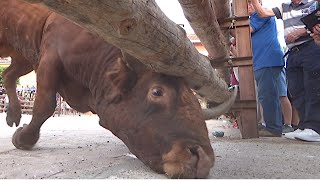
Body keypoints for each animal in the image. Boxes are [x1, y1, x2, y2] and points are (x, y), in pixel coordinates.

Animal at [0, 0, 220, 177]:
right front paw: (24, 138)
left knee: (8, 75)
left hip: (23, 57)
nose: (204, 158)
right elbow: (45, 104)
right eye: (157, 91)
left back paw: (13, 114)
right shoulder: (49, 59)